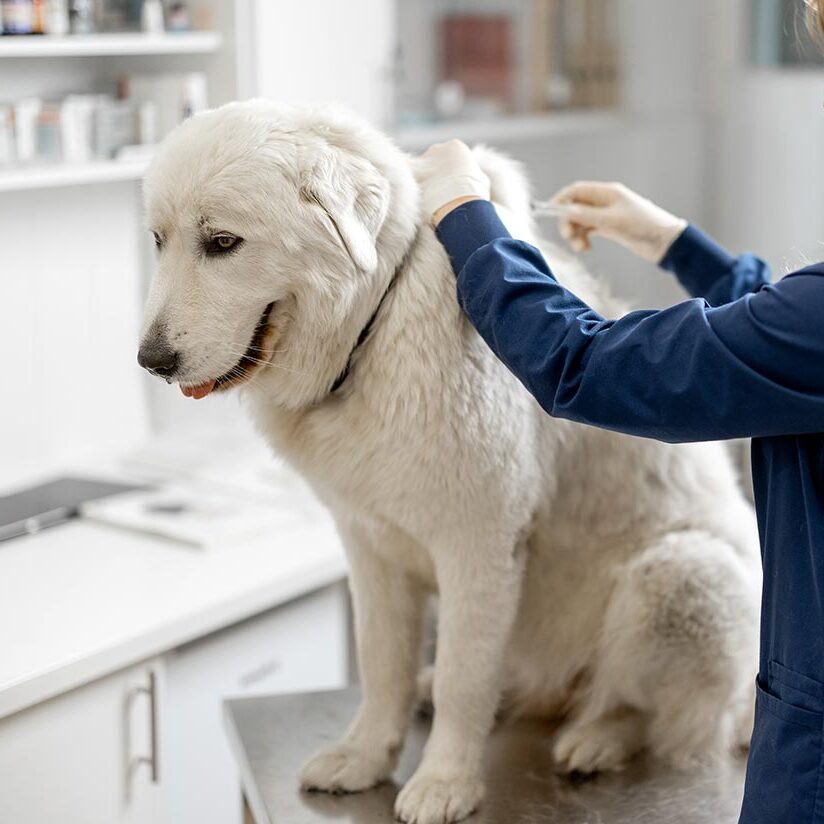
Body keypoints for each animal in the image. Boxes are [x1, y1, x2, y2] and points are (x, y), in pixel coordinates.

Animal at [140, 101, 760, 824]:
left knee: (662, 715)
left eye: (222, 243)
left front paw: (445, 783)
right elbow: (381, 663)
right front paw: (364, 757)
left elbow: (466, 677)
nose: (150, 361)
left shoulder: (479, 546)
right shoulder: (368, 547)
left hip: (681, 576)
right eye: (158, 240)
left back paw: (598, 738)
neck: (369, 331)